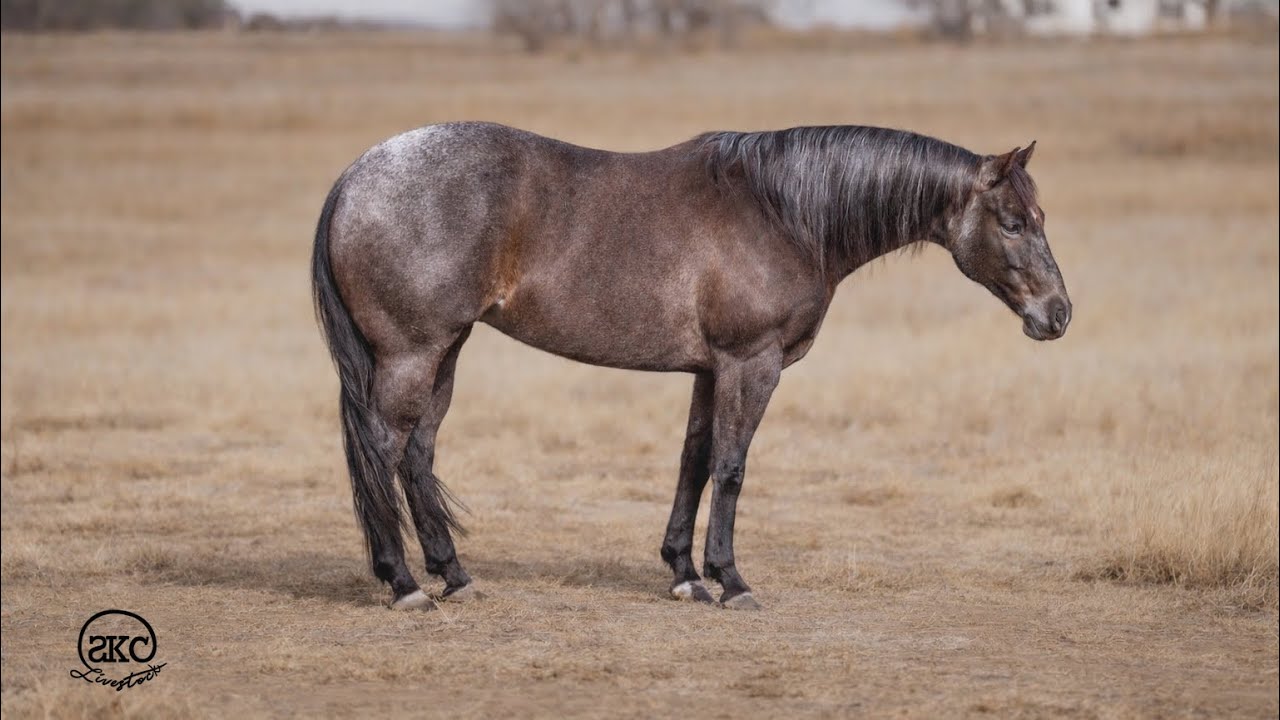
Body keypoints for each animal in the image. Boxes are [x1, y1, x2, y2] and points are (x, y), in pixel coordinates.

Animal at [312, 122, 1071, 611]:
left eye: (1041, 217)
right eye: (1012, 223)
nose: (1058, 313)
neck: (782, 212)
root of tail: (356, 176)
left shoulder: (710, 371)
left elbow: (695, 461)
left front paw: (684, 574)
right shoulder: (751, 363)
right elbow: (731, 468)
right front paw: (731, 580)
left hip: (446, 351)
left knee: (418, 454)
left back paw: (455, 575)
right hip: (413, 352)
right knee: (384, 450)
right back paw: (405, 584)